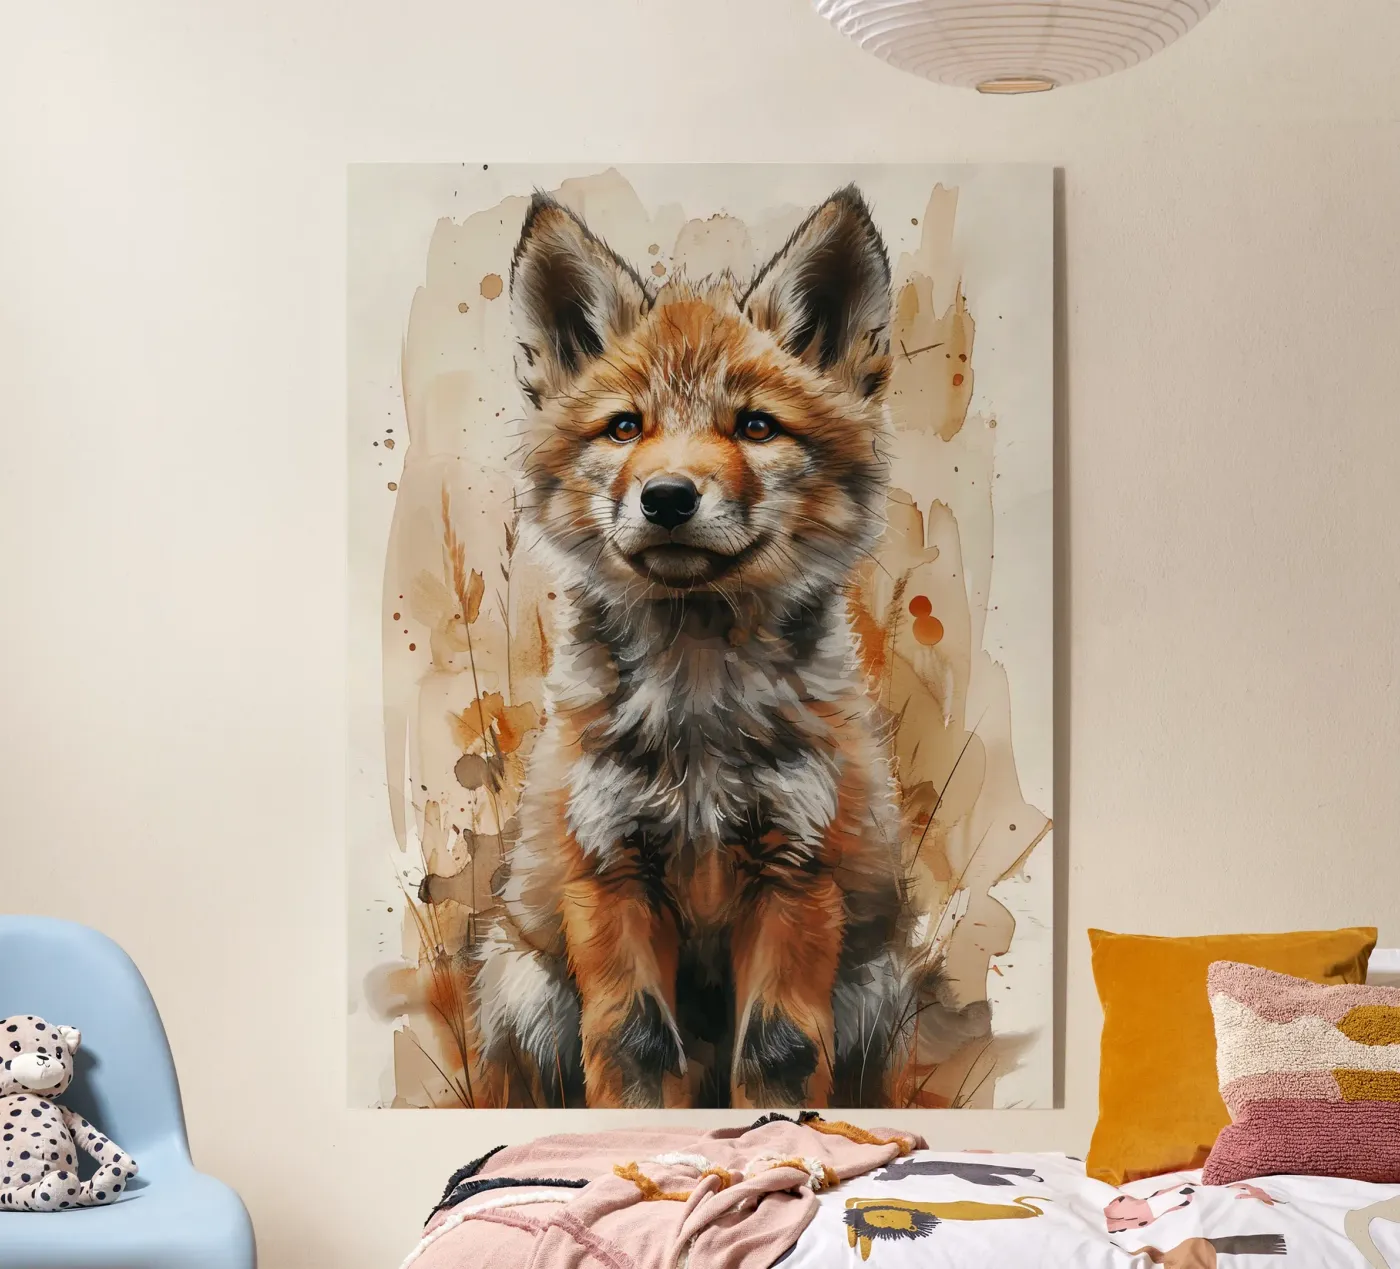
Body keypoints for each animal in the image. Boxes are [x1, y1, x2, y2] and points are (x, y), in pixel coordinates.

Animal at [473, 186, 985, 1108]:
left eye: (754, 426)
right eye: (624, 427)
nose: (668, 496)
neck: (698, 703)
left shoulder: (795, 872)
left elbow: (777, 1056)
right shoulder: (610, 871)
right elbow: (634, 1051)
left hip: (876, 983)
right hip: (523, 983)